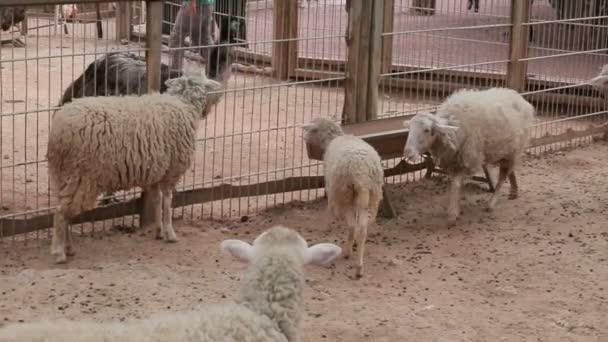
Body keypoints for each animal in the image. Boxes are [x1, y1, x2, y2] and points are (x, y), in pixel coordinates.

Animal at [46, 75, 223, 264]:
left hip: (63, 176)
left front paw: (159, 231)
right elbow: (167, 202)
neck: (183, 105)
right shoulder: (171, 171)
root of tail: (58, 131)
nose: (220, 90)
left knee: (64, 212)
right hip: (81, 176)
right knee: (60, 213)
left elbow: (156, 200)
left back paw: (69, 247)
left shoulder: (156, 173)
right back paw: (59, 252)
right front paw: (170, 233)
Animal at [302, 117, 382, 278]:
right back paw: (359, 266)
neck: (333, 138)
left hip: (345, 193)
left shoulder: (330, 186)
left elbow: (329, 207)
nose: (304, 138)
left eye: (312, 130)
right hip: (370, 195)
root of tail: (361, 173)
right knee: (362, 229)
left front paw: (326, 226)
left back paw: (348, 253)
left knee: (352, 225)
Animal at [404, 86, 536, 224]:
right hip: (507, 150)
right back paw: (514, 191)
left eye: (427, 130)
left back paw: (492, 203)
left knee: (503, 176)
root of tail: (519, 98)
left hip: (513, 150)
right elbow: (455, 184)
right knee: (511, 171)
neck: (454, 125)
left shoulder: (467, 158)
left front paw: (453, 213)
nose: (408, 152)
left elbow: (456, 184)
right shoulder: (454, 160)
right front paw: (455, 208)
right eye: (409, 130)